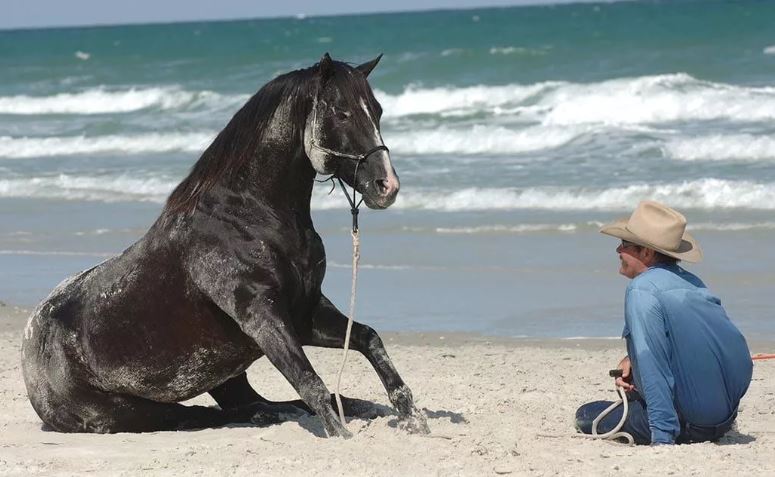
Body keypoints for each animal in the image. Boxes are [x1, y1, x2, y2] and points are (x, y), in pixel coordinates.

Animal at [21, 53, 428, 439]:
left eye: (377, 110)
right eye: (341, 113)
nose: (387, 186)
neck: (246, 219)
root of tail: (30, 345)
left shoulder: (304, 313)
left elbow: (367, 338)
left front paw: (412, 417)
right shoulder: (262, 318)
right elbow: (309, 381)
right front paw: (342, 436)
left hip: (226, 375)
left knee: (250, 404)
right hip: (133, 412)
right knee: (203, 414)